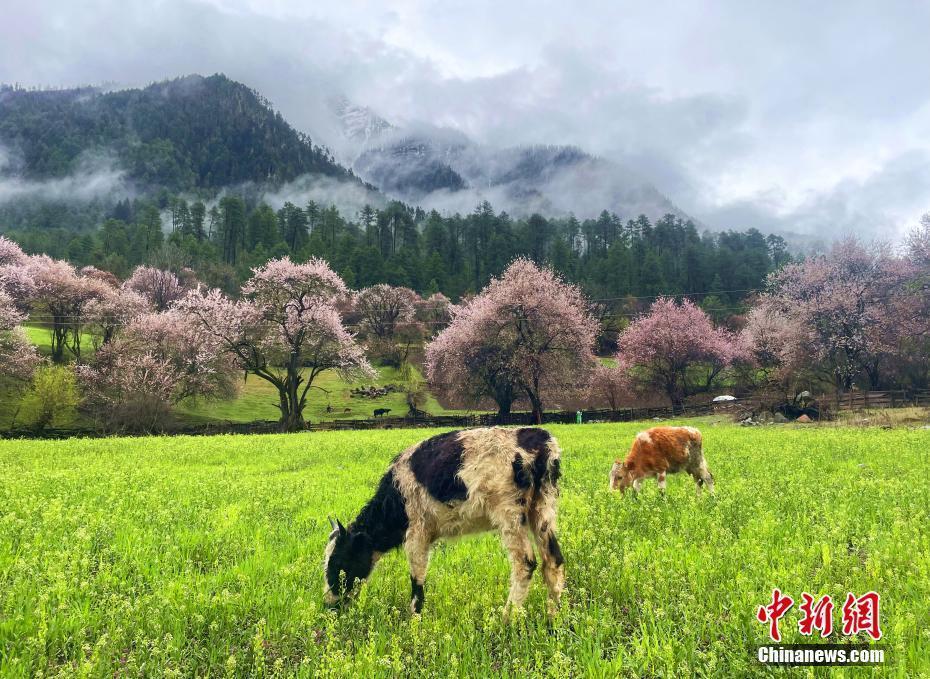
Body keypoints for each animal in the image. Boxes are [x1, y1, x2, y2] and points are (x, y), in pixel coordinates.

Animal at [322, 428, 560, 620]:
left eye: (338, 562)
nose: (329, 604)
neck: (395, 499)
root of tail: (540, 441)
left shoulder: (417, 533)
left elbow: (417, 576)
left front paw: (414, 620)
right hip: (542, 508)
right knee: (554, 559)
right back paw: (553, 618)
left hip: (510, 514)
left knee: (526, 563)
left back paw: (507, 619)